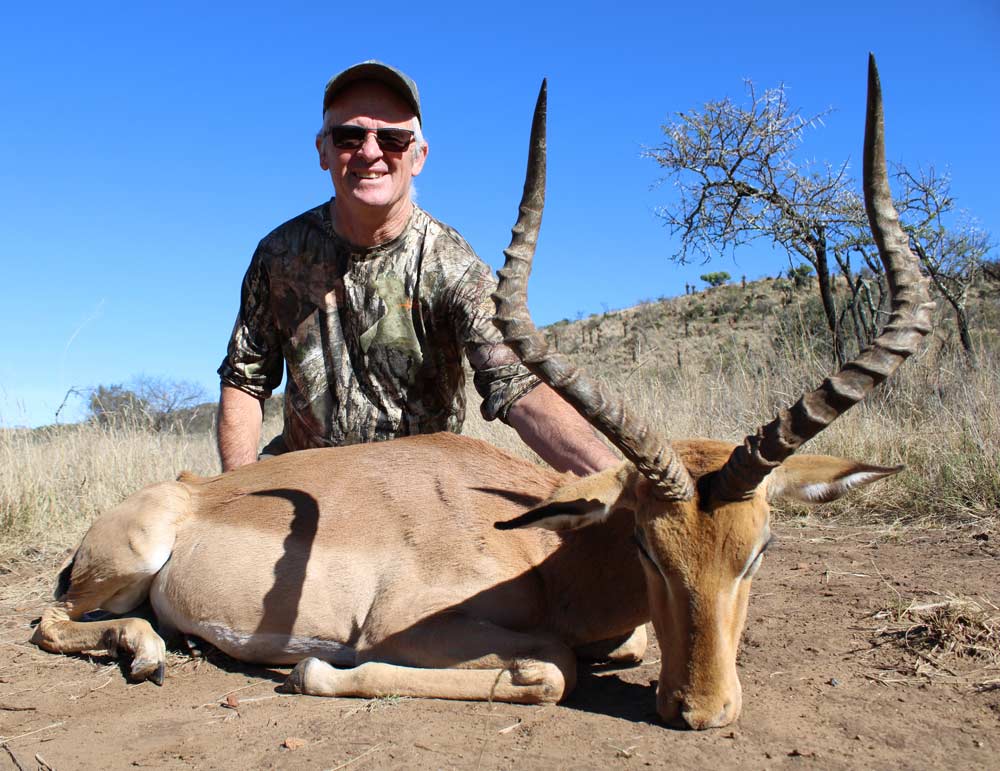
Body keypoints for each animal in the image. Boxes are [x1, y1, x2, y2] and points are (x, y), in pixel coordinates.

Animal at [37, 55, 928, 728]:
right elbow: (554, 667)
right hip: (119, 566)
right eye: (647, 544)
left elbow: (615, 646)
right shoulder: (403, 625)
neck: (544, 553)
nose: (701, 710)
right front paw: (311, 671)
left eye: (761, 548)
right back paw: (151, 655)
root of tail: (184, 490)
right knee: (51, 618)